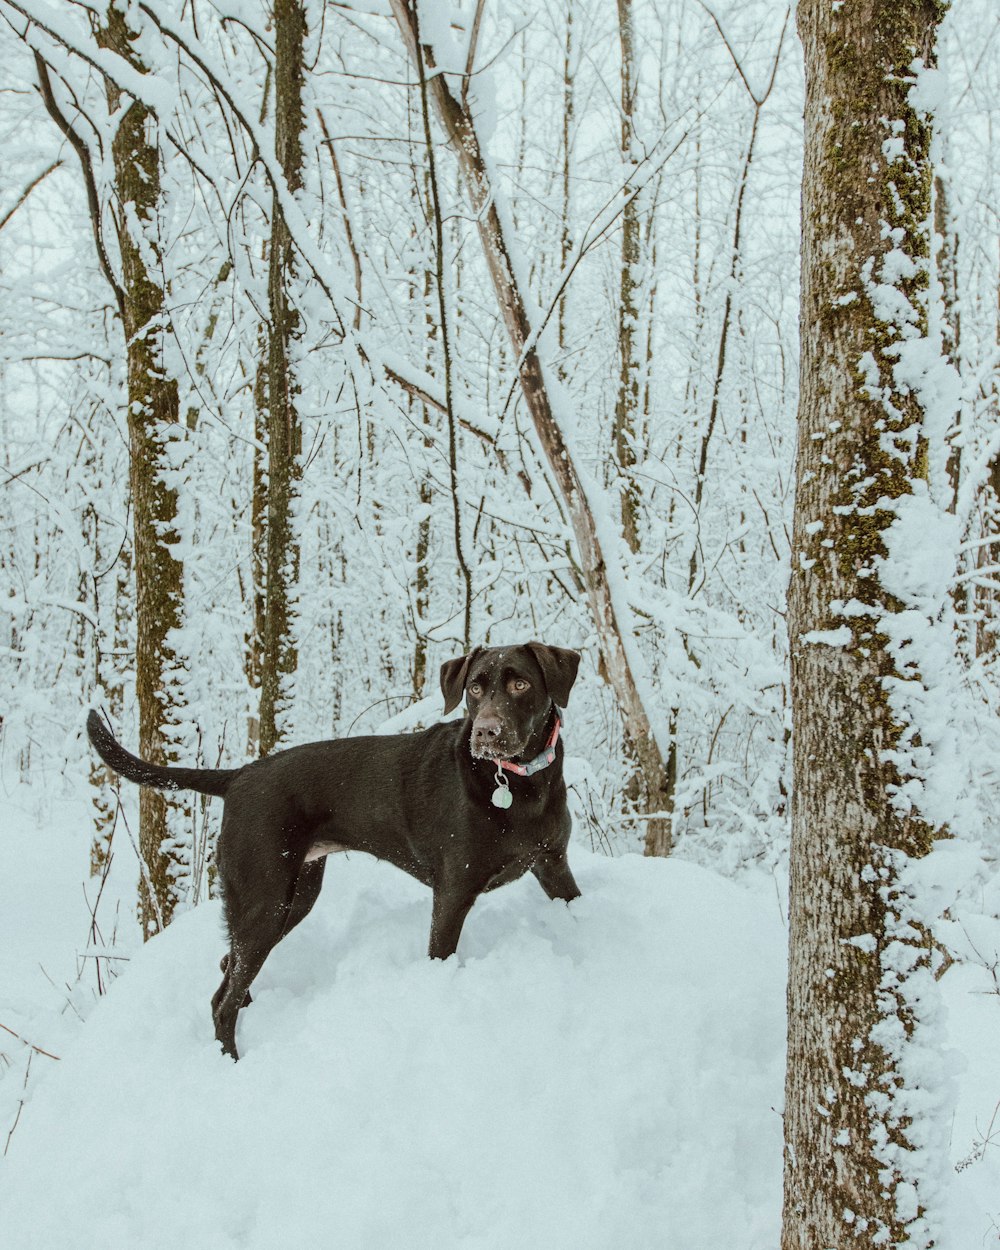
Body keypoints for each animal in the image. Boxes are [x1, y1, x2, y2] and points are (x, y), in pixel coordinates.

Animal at [91, 640, 585, 1060]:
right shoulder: (452, 893)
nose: (485, 732)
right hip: (264, 900)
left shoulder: (554, 864)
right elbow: (441, 953)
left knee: (227, 967)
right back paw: (230, 1060)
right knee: (221, 1001)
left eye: (520, 684)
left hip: (294, 897)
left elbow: (573, 902)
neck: (519, 785)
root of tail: (239, 775)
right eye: (475, 688)